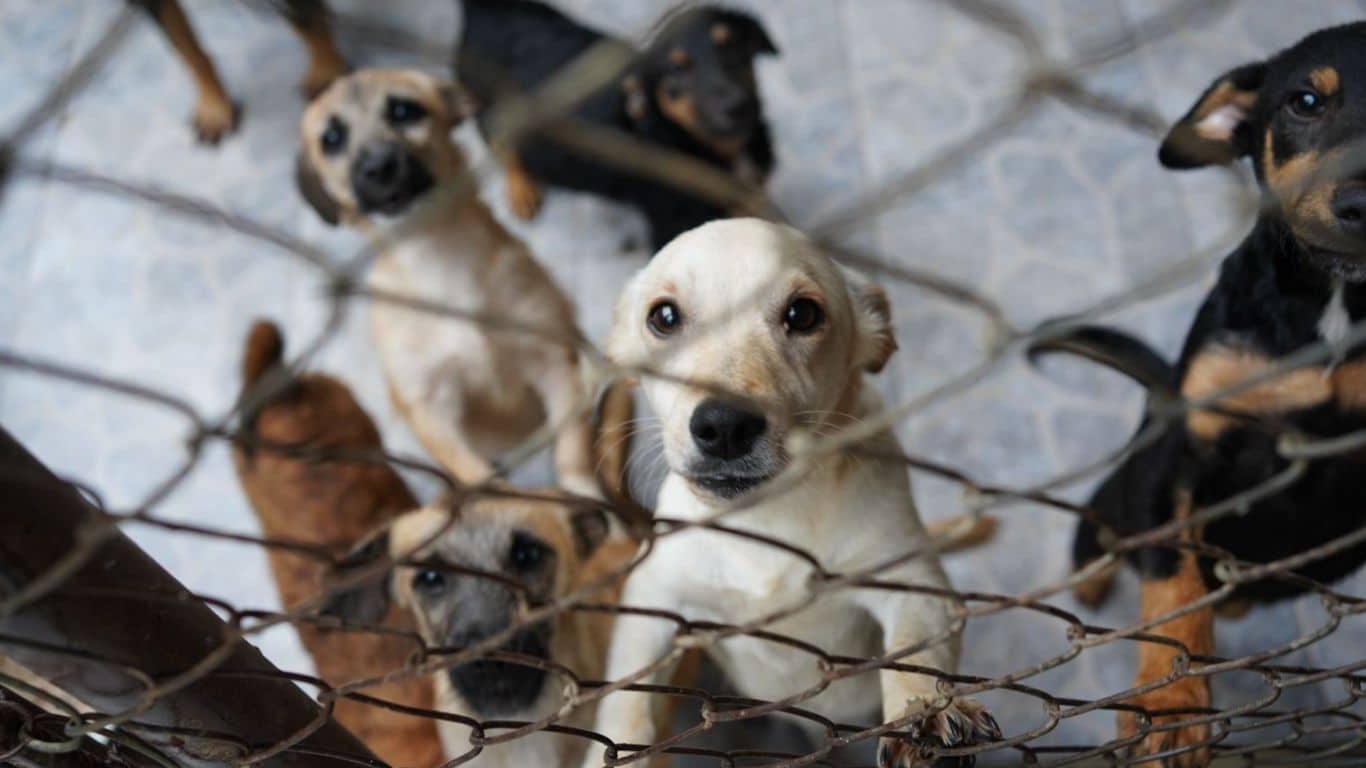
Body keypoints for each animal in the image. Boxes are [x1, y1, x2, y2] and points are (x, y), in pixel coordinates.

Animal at [295, 68, 630, 499]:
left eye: (404, 110)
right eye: (331, 139)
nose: (380, 166)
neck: (436, 256)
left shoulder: (555, 364)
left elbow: (570, 452)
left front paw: (585, 495)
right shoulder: (431, 406)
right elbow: (473, 472)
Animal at [455, 0, 778, 250]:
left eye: (731, 45)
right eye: (676, 68)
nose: (737, 107)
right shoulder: (670, 225)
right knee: (496, 138)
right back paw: (521, 186)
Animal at [581, 219, 999, 768]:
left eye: (803, 314)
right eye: (664, 317)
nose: (724, 426)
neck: (768, 516)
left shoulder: (915, 585)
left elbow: (916, 654)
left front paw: (925, 710)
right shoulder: (653, 600)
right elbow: (628, 699)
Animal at [1029, 23, 1366, 767]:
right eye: (1304, 102)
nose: (1364, 203)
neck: (1335, 304)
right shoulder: (1186, 447)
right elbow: (1172, 584)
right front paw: (1170, 706)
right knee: (1100, 546)